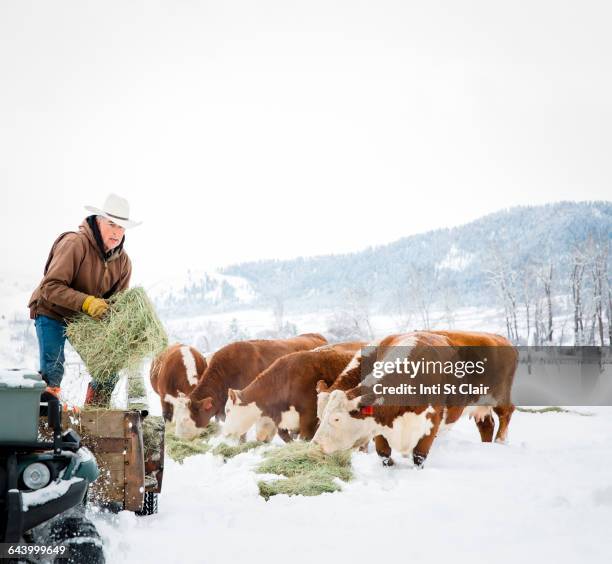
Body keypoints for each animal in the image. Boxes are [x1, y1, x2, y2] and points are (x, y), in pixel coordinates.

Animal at [314, 330, 520, 468]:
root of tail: (499, 337)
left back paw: (500, 442)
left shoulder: (430, 424)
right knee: (486, 425)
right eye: (320, 417)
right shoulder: (380, 423)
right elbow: (384, 455)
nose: (315, 444)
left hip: (500, 396)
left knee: (505, 415)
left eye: (336, 418)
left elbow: (419, 456)